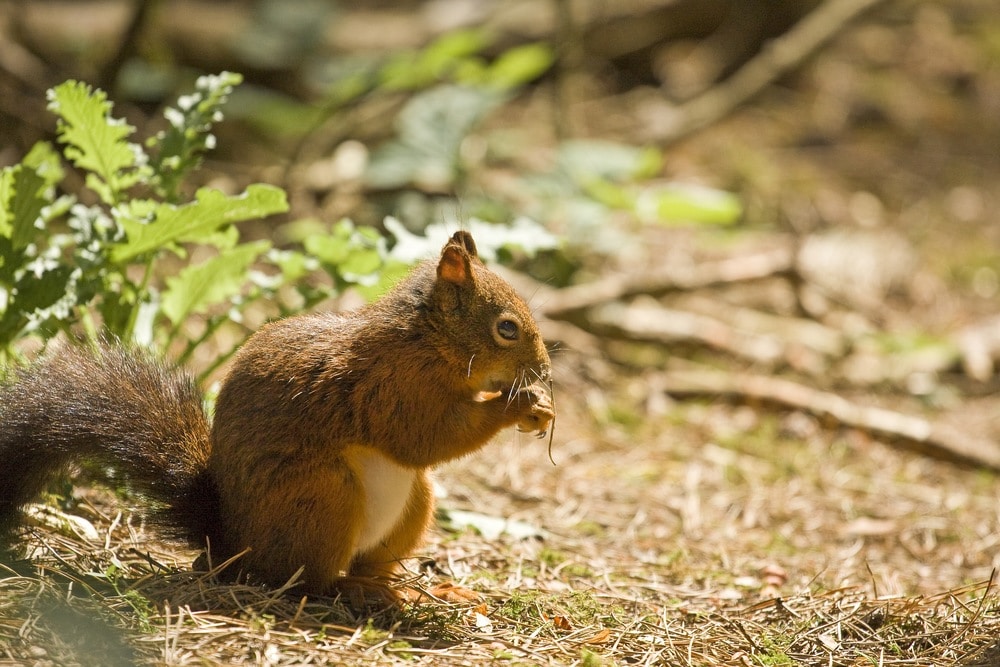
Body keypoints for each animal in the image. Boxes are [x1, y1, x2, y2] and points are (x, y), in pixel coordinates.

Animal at [0, 231, 556, 600]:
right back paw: (354, 591)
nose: (545, 370)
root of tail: (232, 544)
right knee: (309, 579)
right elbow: (426, 437)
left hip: (413, 502)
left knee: (371, 561)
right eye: (507, 328)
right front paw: (517, 404)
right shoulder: (391, 385)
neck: (427, 339)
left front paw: (536, 408)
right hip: (324, 499)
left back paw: (414, 588)